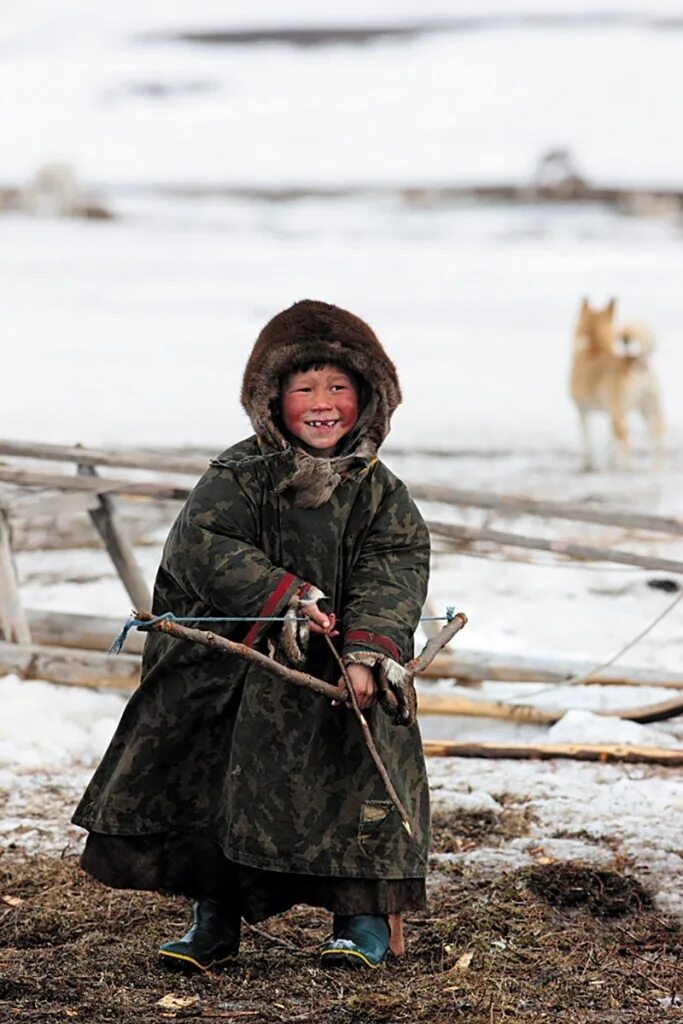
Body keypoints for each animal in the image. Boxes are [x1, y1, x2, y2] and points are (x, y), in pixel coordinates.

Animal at [569, 299, 663, 468]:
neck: (595, 346)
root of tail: (638, 363)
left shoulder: (582, 410)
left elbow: (587, 442)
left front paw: (589, 461)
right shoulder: (609, 413)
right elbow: (610, 442)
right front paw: (610, 460)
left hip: (620, 415)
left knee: (628, 447)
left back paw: (627, 468)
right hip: (649, 410)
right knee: (658, 443)